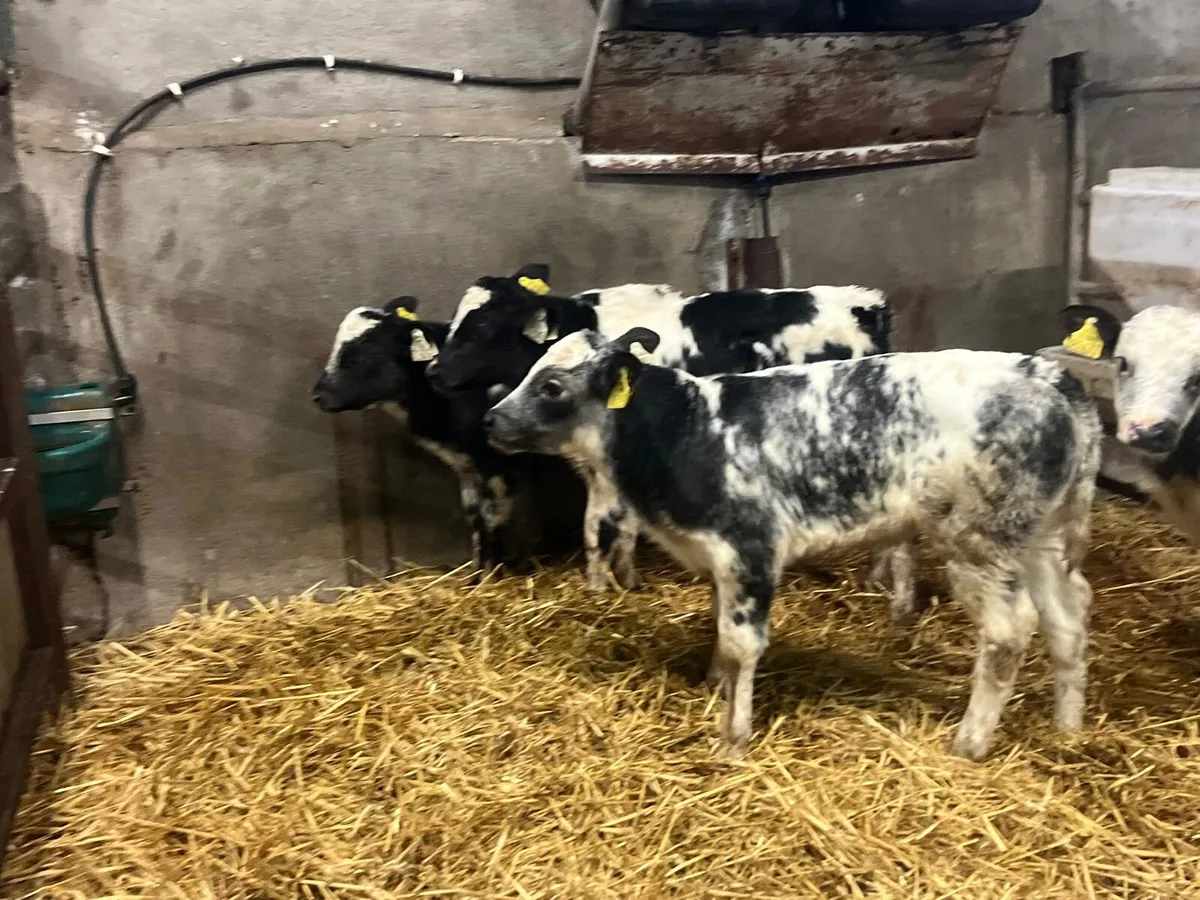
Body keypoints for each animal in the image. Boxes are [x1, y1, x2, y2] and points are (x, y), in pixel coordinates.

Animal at [313, 295, 583, 575]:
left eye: (363, 354)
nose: (319, 395)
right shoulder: (467, 465)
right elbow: (474, 515)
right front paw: (478, 573)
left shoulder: (497, 463)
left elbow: (493, 515)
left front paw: (493, 574)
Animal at [429, 265, 919, 622]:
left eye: (483, 325)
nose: (434, 371)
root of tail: (865, 304)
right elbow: (623, 527)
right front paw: (627, 581)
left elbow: (597, 527)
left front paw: (597, 591)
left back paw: (894, 602)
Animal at [482, 328, 1101, 760]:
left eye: (552, 386)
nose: (490, 421)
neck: (688, 431)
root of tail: (1043, 371)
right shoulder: (720, 562)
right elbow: (719, 628)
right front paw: (714, 686)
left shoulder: (749, 549)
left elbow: (742, 642)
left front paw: (733, 736)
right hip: (1041, 538)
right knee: (1068, 617)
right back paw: (1067, 727)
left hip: (979, 542)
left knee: (1008, 632)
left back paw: (969, 743)